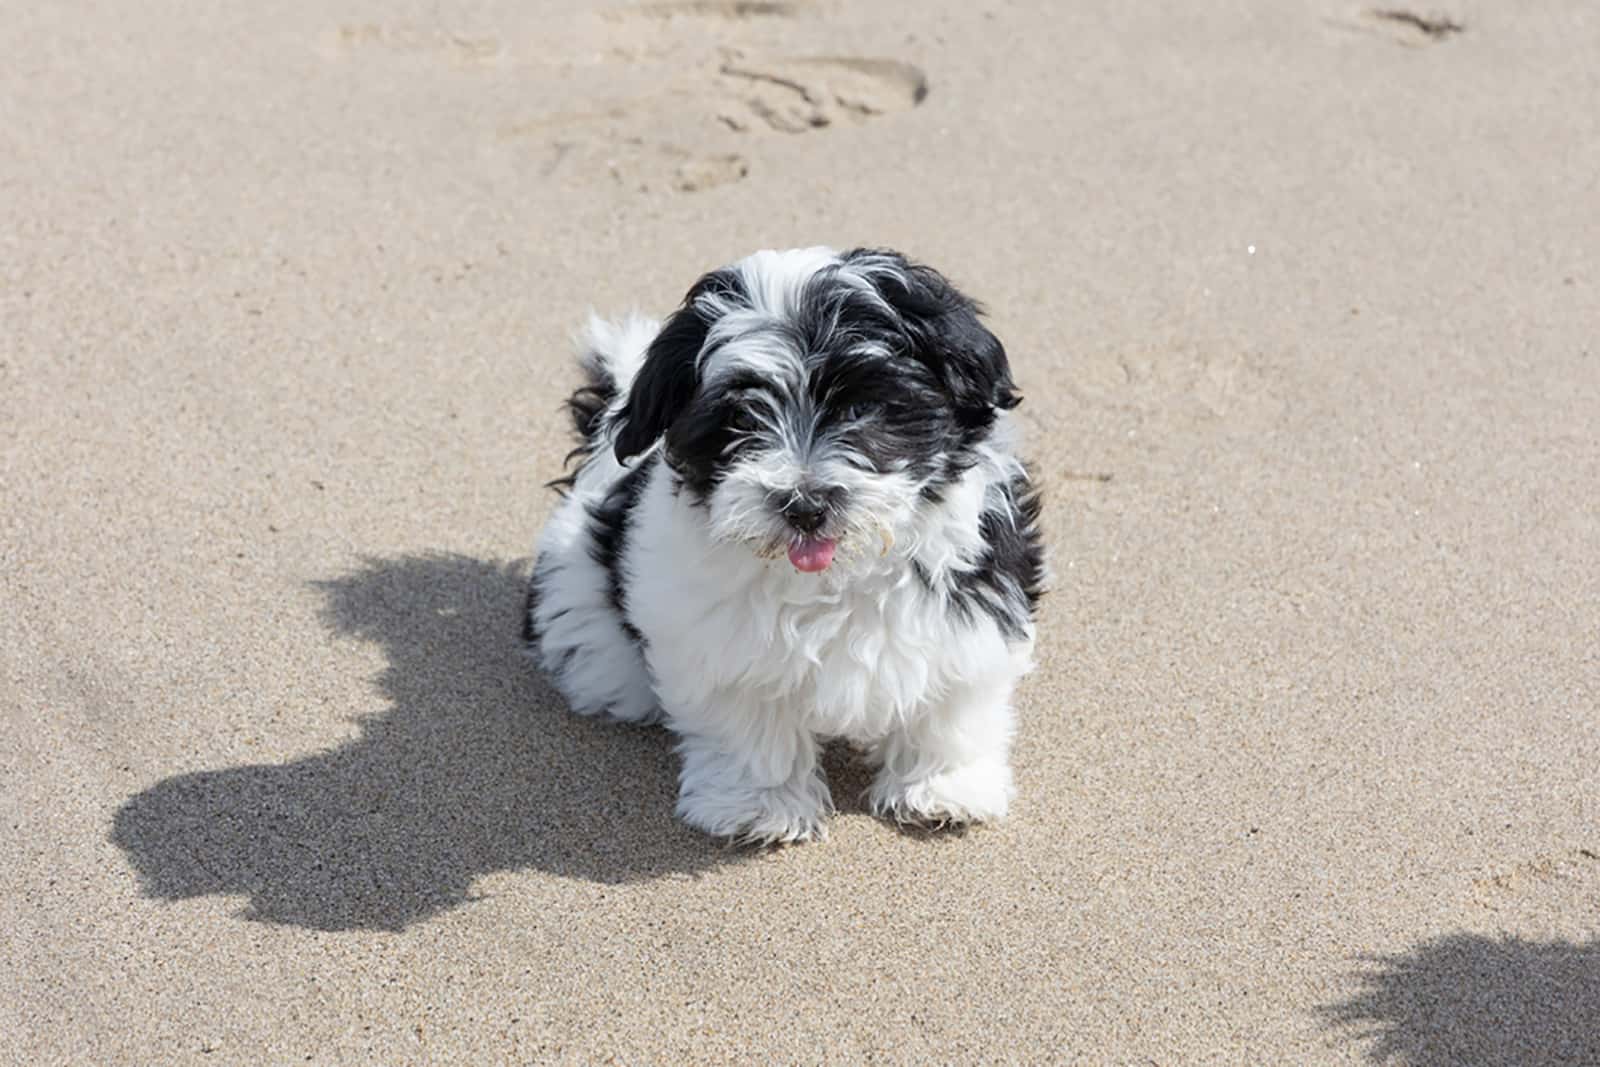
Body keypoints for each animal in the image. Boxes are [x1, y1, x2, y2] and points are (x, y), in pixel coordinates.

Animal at [531, 247, 1043, 844]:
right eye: (741, 419)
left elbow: (953, 702)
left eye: (859, 408)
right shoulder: (715, 639)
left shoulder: (977, 605)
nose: (805, 504)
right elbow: (748, 720)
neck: (836, 573)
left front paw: (943, 786)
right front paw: (761, 804)